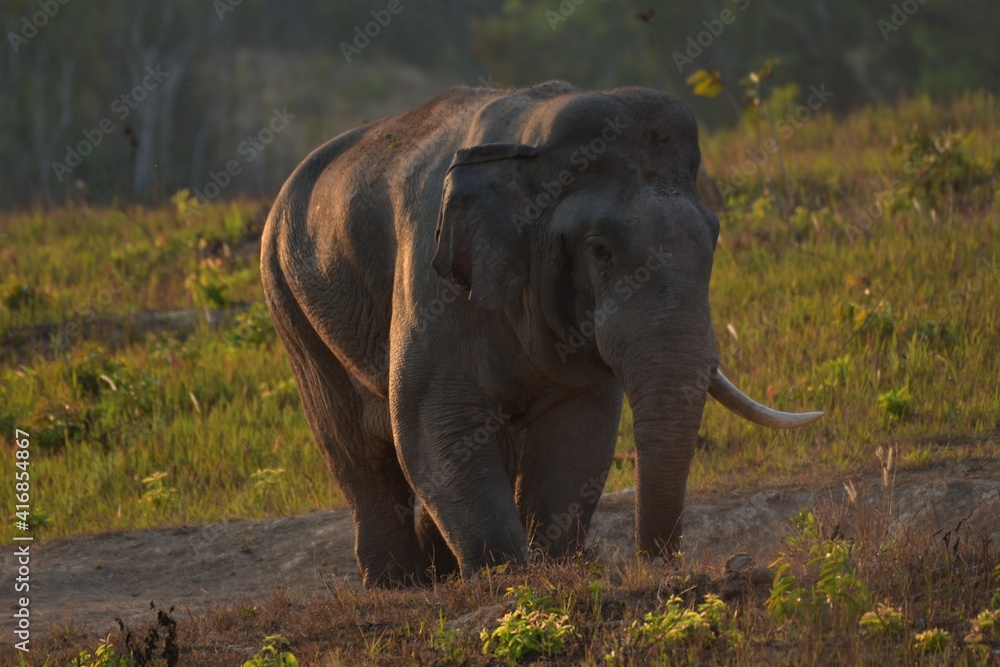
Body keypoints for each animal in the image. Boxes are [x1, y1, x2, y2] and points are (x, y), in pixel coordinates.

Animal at [260, 81, 822, 588]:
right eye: (599, 250)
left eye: (713, 237)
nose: (660, 566)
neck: (531, 144)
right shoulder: (433, 276)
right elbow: (434, 422)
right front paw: (506, 578)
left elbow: (580, 430)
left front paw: (556, 569)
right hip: (288, 300)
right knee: (354, 447)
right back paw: (395, 583)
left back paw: (433, 571)